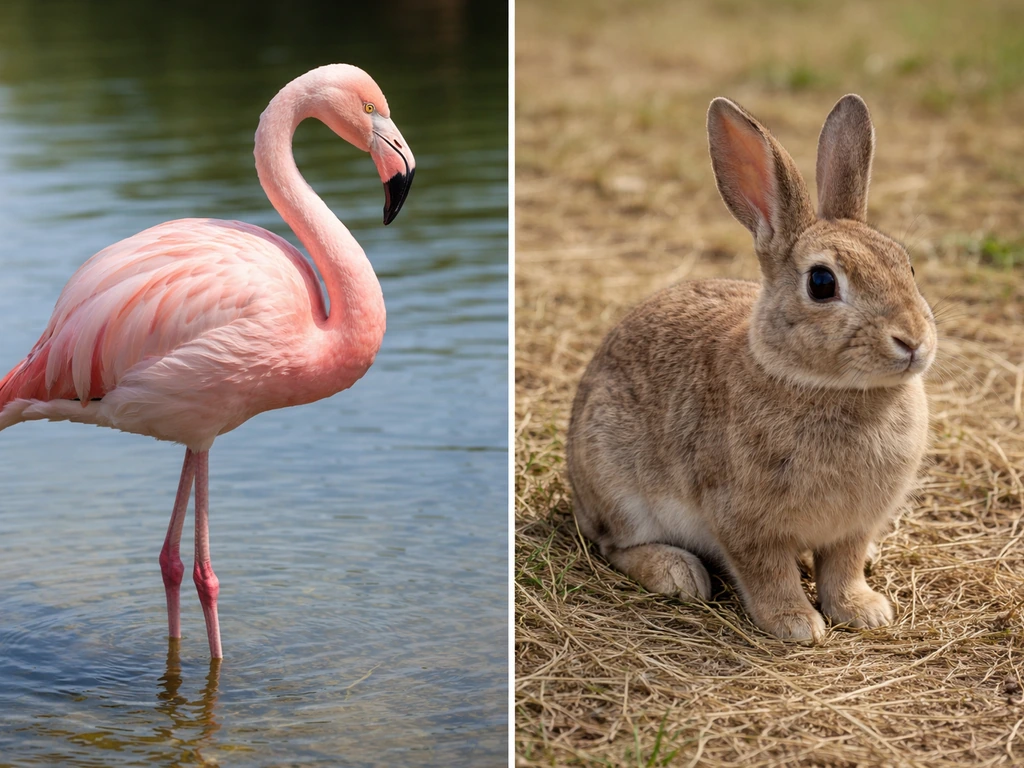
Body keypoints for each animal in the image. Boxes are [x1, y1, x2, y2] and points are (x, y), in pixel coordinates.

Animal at [566, 94, 935, 642]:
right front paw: (797, 624)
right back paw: (678, 574)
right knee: (615, 545)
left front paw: (864, 611)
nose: (912, 341)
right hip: (617, 481)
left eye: (906, 266)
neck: (830, 387)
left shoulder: (854, 526)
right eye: (822, 283)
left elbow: (844, 566)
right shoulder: (744, 523)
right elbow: (768, 573)